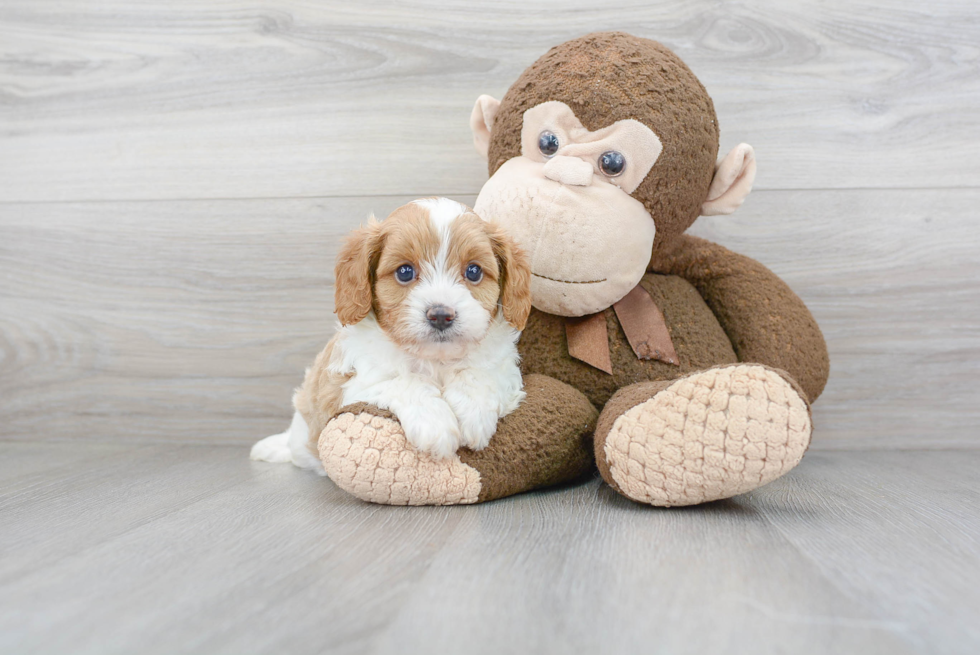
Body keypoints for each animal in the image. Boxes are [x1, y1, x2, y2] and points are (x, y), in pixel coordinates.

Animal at [251, 197, 528, 474]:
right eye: (404, 272)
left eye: (473, 272)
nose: (441, 315)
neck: (434, 360)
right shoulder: (352, 385)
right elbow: (402, 381)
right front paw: (434, 424)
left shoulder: (505, 369)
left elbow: (479, 373)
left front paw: (473, 412)